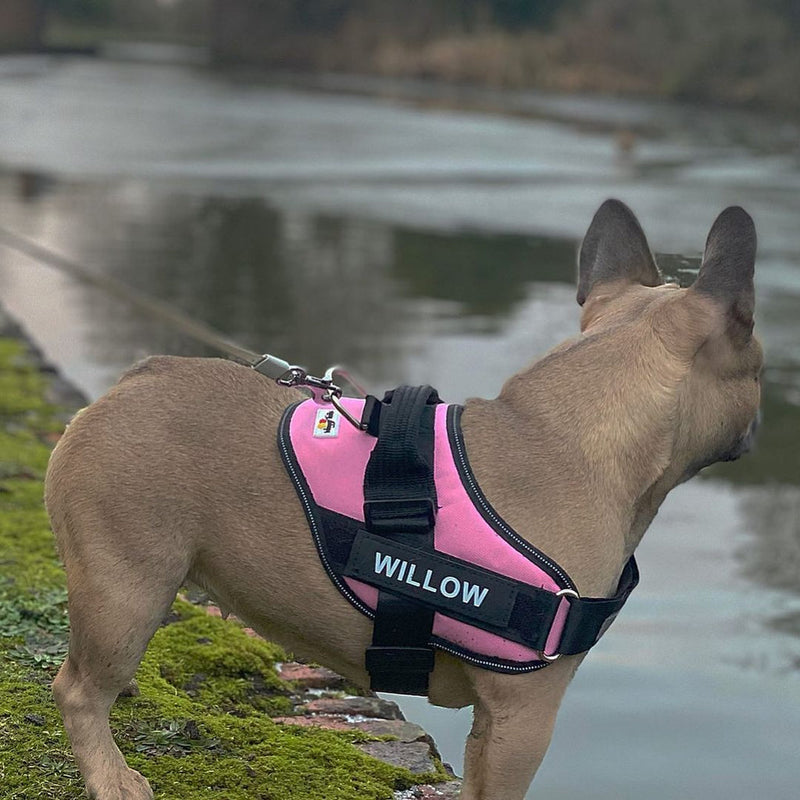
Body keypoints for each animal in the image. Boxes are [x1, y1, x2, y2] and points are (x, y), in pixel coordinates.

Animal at [43, 202, 764, 800]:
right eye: (759, 365)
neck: (564, 434)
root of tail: (132, 382)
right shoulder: (522, 718)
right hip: (126, 582)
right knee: (75, 689)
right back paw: (114, 779)